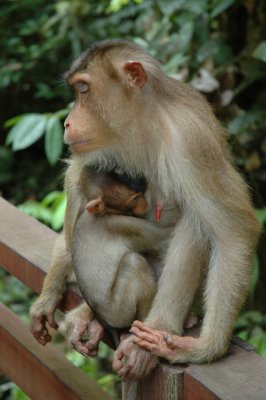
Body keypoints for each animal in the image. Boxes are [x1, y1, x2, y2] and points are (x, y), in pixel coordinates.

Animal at [29, 40, 260, 382]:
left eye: (84, 89)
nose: (68, 122)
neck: (144, 124)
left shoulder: (191, 138)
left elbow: (233, 230)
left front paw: (208, 348)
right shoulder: (100, 149)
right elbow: (79, 176)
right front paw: (47, 298)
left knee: (195, 220)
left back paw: (160, 328)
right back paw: (90, 314)